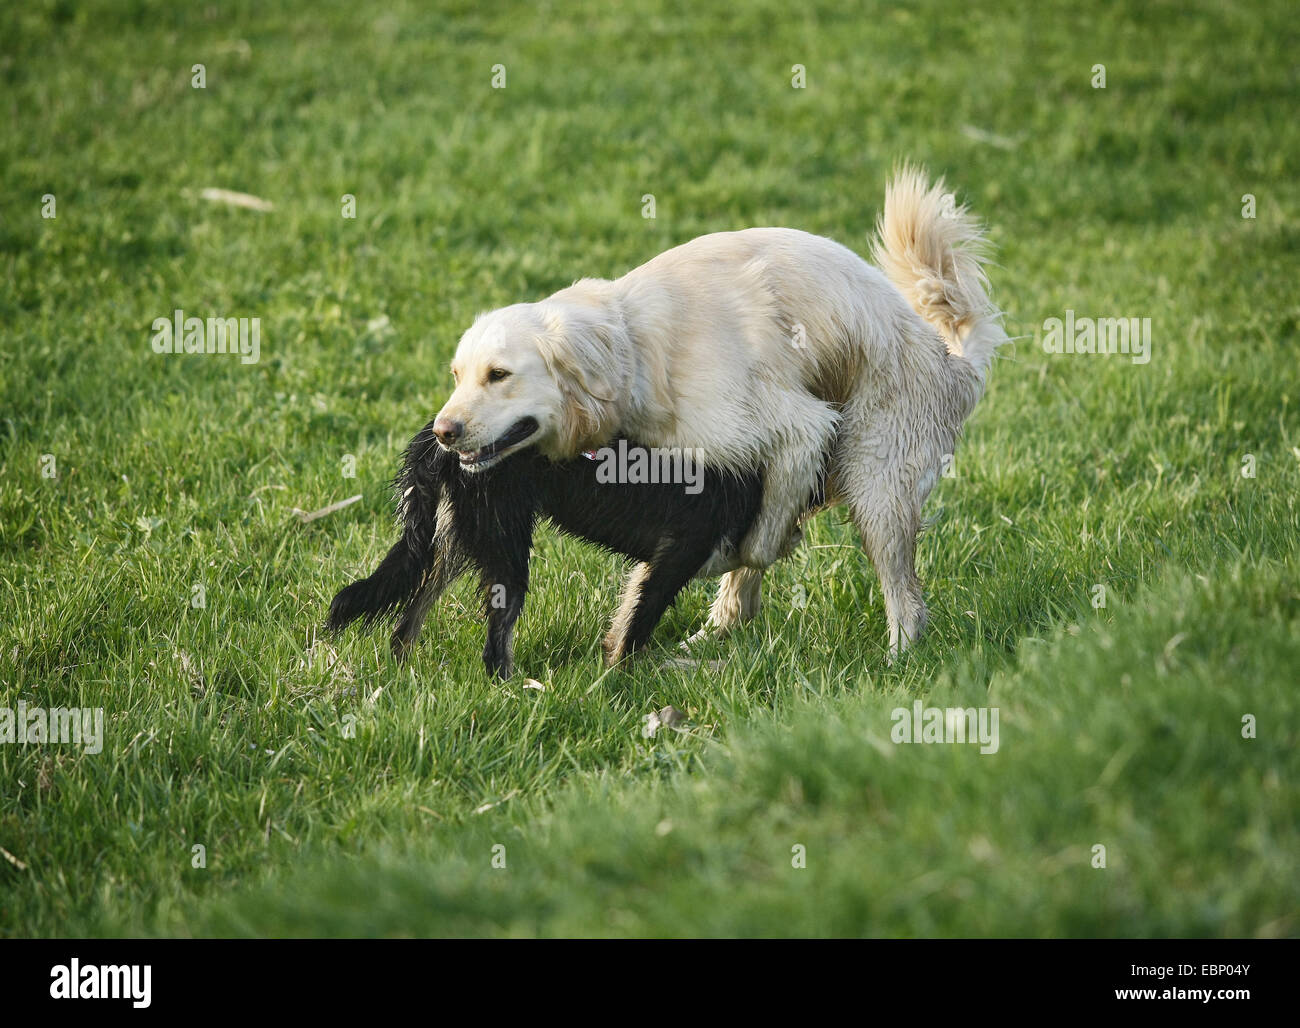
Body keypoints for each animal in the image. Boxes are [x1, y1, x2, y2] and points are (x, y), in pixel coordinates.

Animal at [325, 413, 764, 681]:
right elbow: (633, 634)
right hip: (504, 547)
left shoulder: (655, 563)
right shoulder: (676, 556)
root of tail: (436, 432)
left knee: (406, 622)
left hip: (458, 539)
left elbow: (625, 622)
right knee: (495, 646)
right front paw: (620, 682)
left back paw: (403, 674)